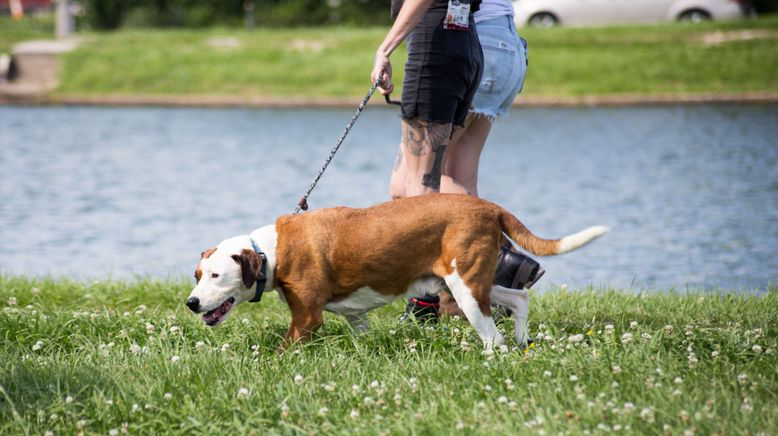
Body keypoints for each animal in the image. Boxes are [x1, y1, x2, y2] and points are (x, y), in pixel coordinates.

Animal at [183, 192, 608, 350]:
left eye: (216, 276)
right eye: (197, 275)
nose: (191, 303)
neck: (270, 252)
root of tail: (487, 206)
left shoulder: (306, 318)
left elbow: (283, 349)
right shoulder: (355, 317)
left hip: (466, 289)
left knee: (492, 336)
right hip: (463, 282)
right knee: (518, 298)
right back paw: (522, 341)